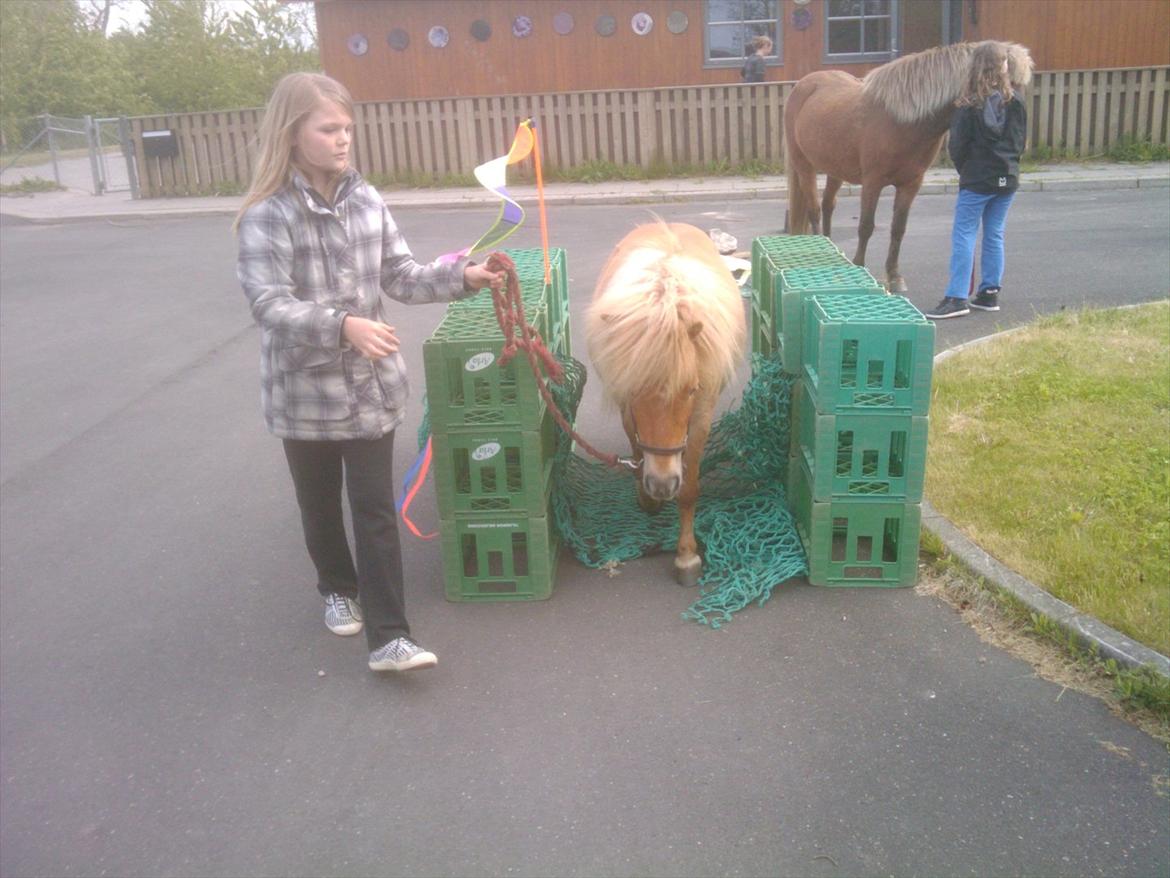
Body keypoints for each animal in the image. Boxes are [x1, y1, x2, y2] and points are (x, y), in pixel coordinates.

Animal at [589, 223, 744, 587]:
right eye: (634, 390)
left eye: (691, 390)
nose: (661, 484)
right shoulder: (626, 408)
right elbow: (636, 449)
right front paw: (647, 497)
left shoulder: (701, 416)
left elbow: (689, 489)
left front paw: (686, 555)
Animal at [786, 40, 1034, 292]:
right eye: (1005, 85)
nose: (1020, 144)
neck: (903, 120)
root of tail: (804, 85)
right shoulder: (872, 182)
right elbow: (866, 226)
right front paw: (860, 265)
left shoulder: (911, 184)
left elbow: (898, 229)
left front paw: (895, 277)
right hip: (804, 165)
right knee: (814, 210)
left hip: (835, 169)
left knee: (828, 205)